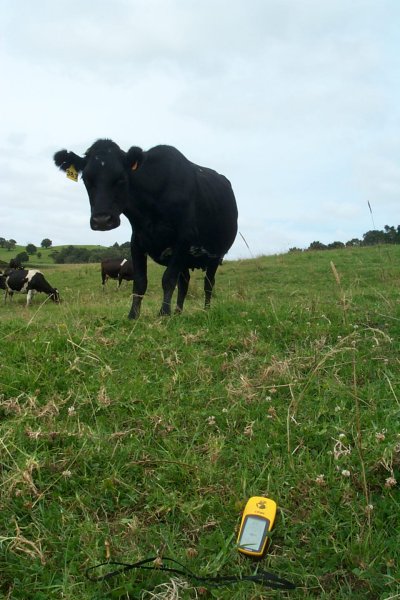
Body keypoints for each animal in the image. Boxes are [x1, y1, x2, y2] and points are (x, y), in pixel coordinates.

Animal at [53, 139, 238, 318]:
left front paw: (164, 314)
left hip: (214, 255)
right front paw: (133, 315)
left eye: (121, 178)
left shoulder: (184, 239)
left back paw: (206, 310)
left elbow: (168, 279)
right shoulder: (137, 241)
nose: (102, 220)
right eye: (86, 179)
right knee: (184, 283)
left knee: (208, 283)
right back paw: (178, 312)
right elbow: (140, 282)